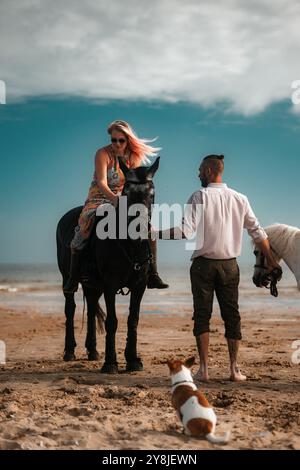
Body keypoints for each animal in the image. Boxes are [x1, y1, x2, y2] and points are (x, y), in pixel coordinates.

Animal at [56, 156, 159, 372]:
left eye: (151, 193)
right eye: (126, 192)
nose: (139, 226)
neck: (129, 244)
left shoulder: (139, 285)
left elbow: (133, 320)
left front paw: (133, 360)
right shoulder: (110, 285)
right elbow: (112, 321)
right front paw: (111, 363)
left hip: (92, 285)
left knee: (91, 308)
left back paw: (93, 351)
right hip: (68, 279)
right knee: (70, 309)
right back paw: (69, 351)